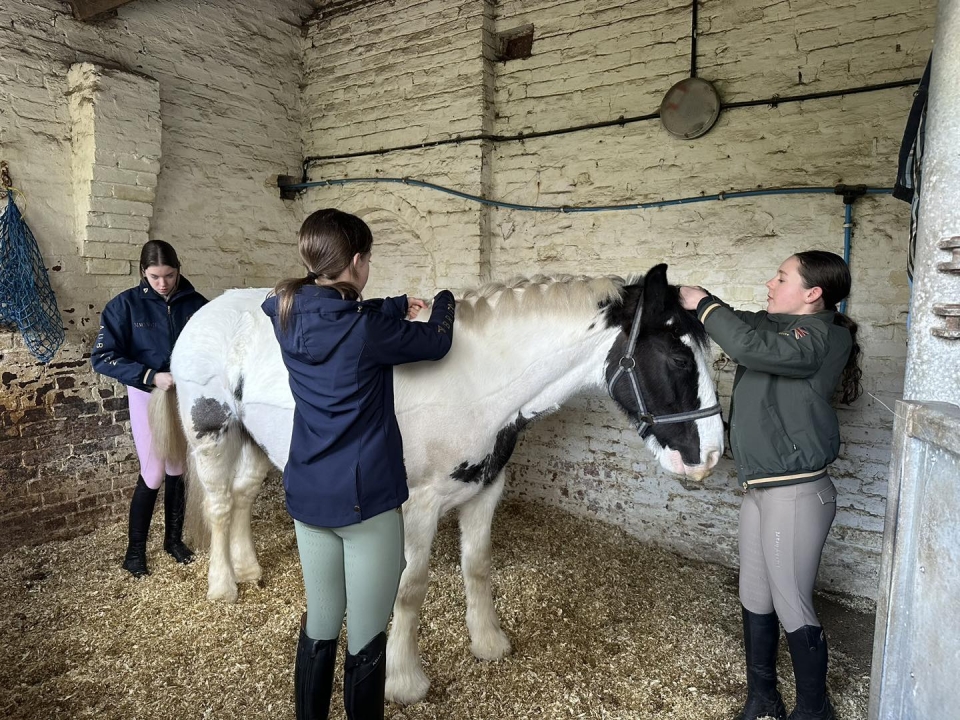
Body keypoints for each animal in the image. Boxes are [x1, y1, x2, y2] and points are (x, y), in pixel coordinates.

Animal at [149, 264, 724, 704]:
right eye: (678, 357)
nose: (712, 456)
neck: (473, 381)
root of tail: (206, 313)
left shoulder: (487, 490)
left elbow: (477, 565)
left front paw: (489, 643)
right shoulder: (418, 507)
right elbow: (410, 588)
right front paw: (403, 681)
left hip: (258, 441)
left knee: (243, 496)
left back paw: (248, 569)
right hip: (212, 433)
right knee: (220, 505)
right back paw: (223, 586)